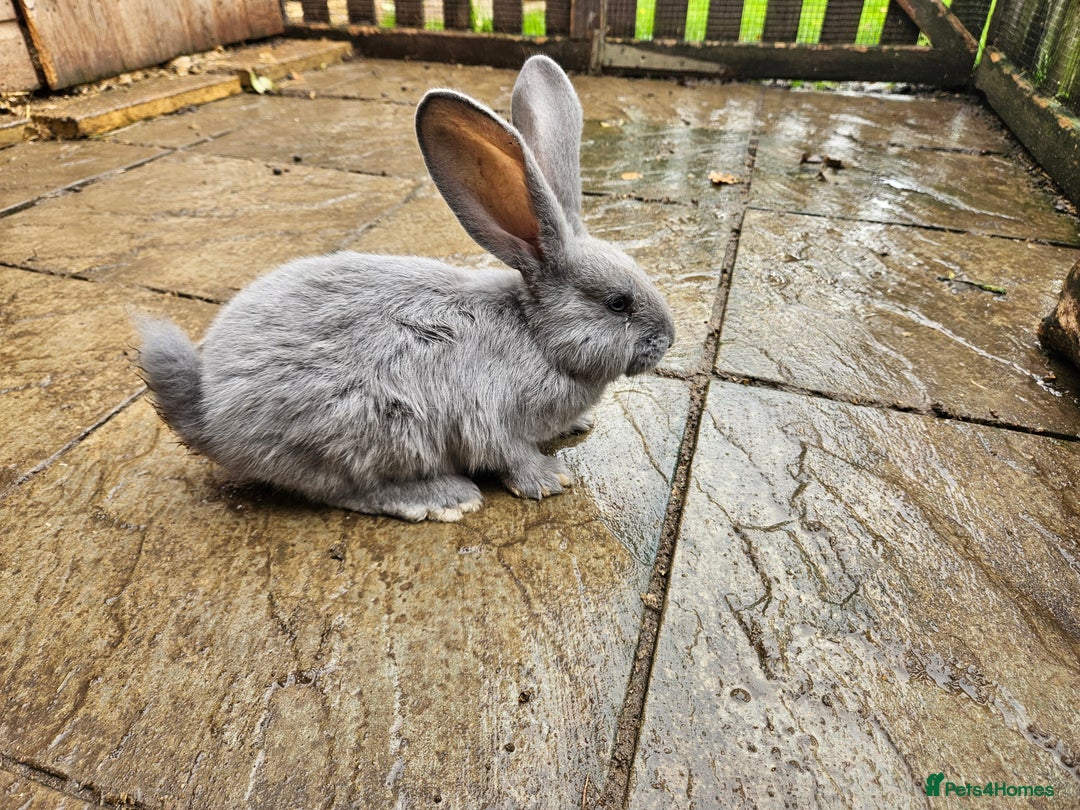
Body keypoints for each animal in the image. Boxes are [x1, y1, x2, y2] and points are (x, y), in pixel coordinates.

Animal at [136, 55, 675, 522]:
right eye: (618, 302)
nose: (668, 340)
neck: (537, 335)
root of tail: (209, 415)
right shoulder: (492, 417)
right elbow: (510, 454)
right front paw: (549, 479)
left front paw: (575, 427)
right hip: (372, 431)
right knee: (348, 491)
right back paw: (444, 498)